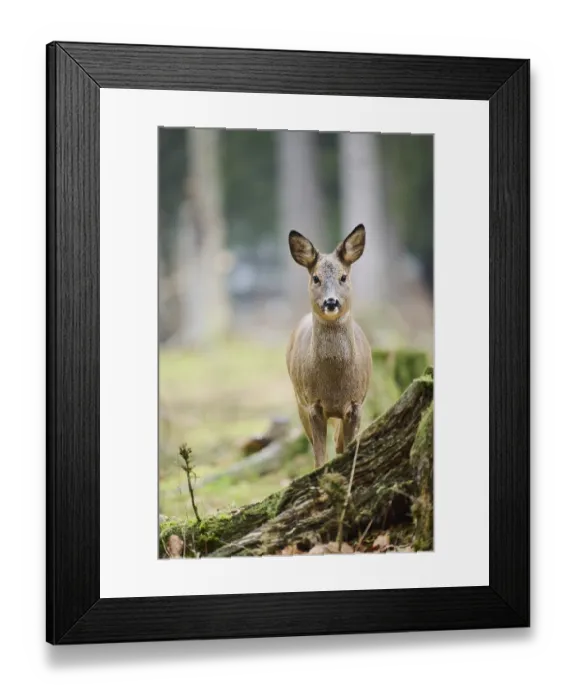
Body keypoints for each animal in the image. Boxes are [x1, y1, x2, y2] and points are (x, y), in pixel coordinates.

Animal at [286, 224, 372, 469]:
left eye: (344, 276)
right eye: (316, 278)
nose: (331, 302)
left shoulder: (356, 403)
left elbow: (348, 447)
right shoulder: (312, 404)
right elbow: (320, 457)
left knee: (338, 441)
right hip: (298, 400)